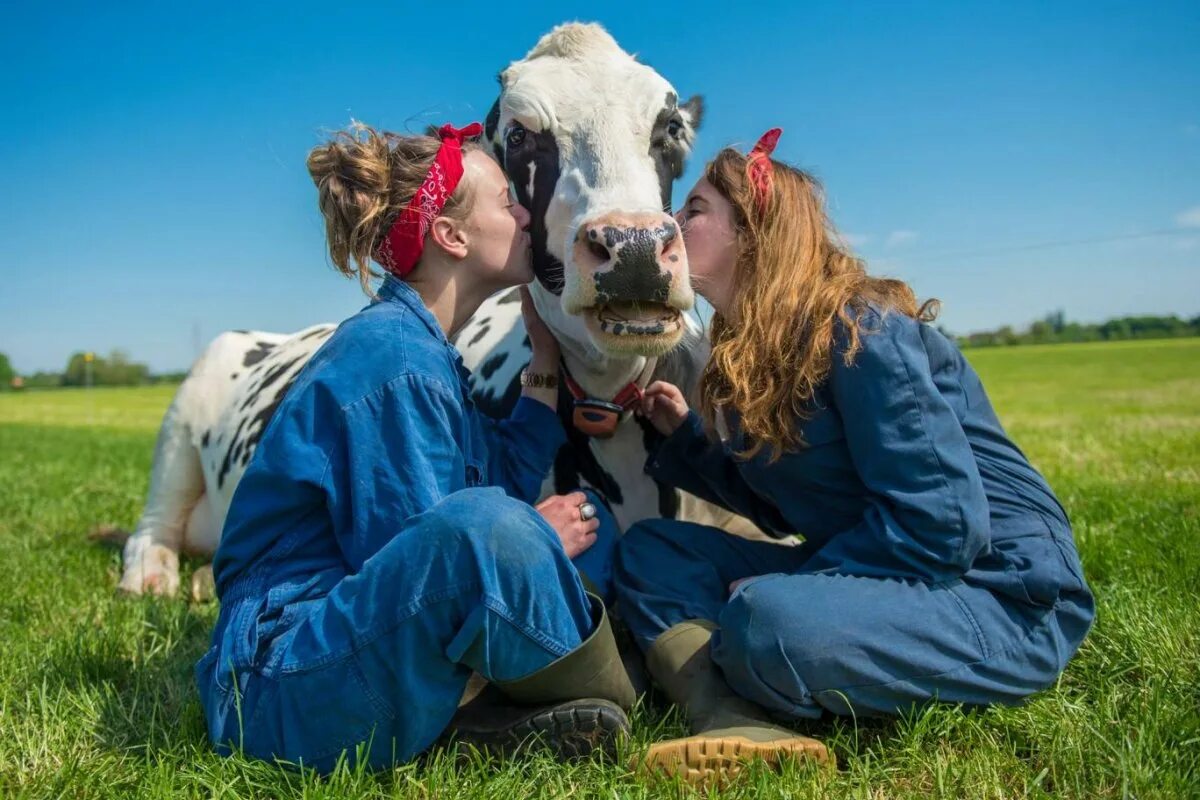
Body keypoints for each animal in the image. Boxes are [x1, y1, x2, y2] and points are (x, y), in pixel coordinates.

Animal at [121, 21, 758, 597]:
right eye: (519, 136)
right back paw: (156, 577)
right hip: (182, 418)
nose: (634, 248)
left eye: (670, 128)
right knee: (151, 527)